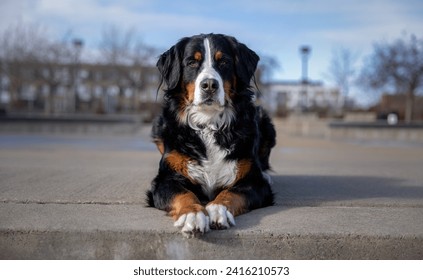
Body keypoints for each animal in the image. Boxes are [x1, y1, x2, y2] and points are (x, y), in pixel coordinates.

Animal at [147, 33, 276, 238]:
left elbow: (232, 192)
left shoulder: (255, 183)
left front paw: (217, 209)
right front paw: (193, 214)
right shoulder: (164, 180)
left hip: (266, 122)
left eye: (223, 62)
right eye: (192, 62)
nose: (209, 85)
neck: (209, 123)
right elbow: (184, 194)